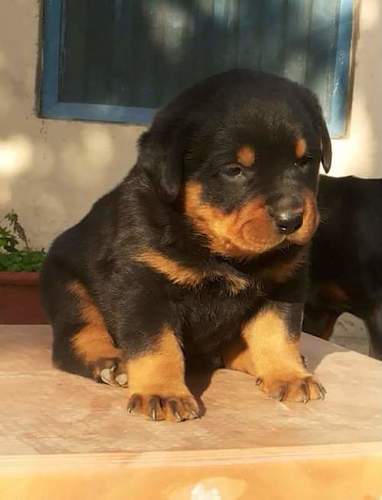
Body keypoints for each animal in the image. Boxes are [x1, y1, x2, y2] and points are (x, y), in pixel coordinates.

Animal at [40, 69, 330, 422]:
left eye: (305, 162)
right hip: (67, 285)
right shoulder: (142, 284)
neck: (222, 253)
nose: (292, 219)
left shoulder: (285, 282)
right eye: (234, 170)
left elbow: (279, 333)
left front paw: (289, 375)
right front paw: (163, 393)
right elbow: (157, 345)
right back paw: (111, 363)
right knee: (77, 334)